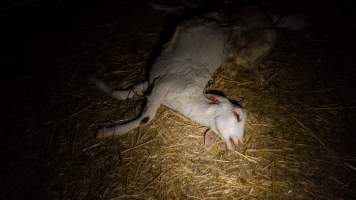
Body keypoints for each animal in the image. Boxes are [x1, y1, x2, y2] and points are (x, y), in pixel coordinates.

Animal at [97, 17, 248, 150]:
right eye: (237, 115)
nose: (240, 143)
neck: (188, 98)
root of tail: (215, 22)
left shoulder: (155, 83)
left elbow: (133, 90)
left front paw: (111, 92)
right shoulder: (161, 84)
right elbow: (145, 117)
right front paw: (106, 131)